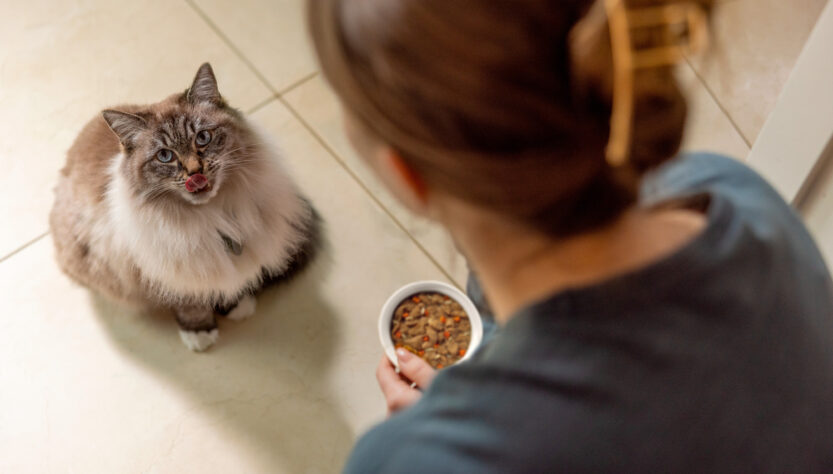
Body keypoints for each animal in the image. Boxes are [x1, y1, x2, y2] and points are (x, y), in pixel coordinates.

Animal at [49, 62, 318, 352]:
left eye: (202, 138)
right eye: (165, 156)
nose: (194, 172)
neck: (212, 217)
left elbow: (229, 281)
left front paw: (235, 305)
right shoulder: (170, 266)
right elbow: (191, 301)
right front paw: (200, 332)